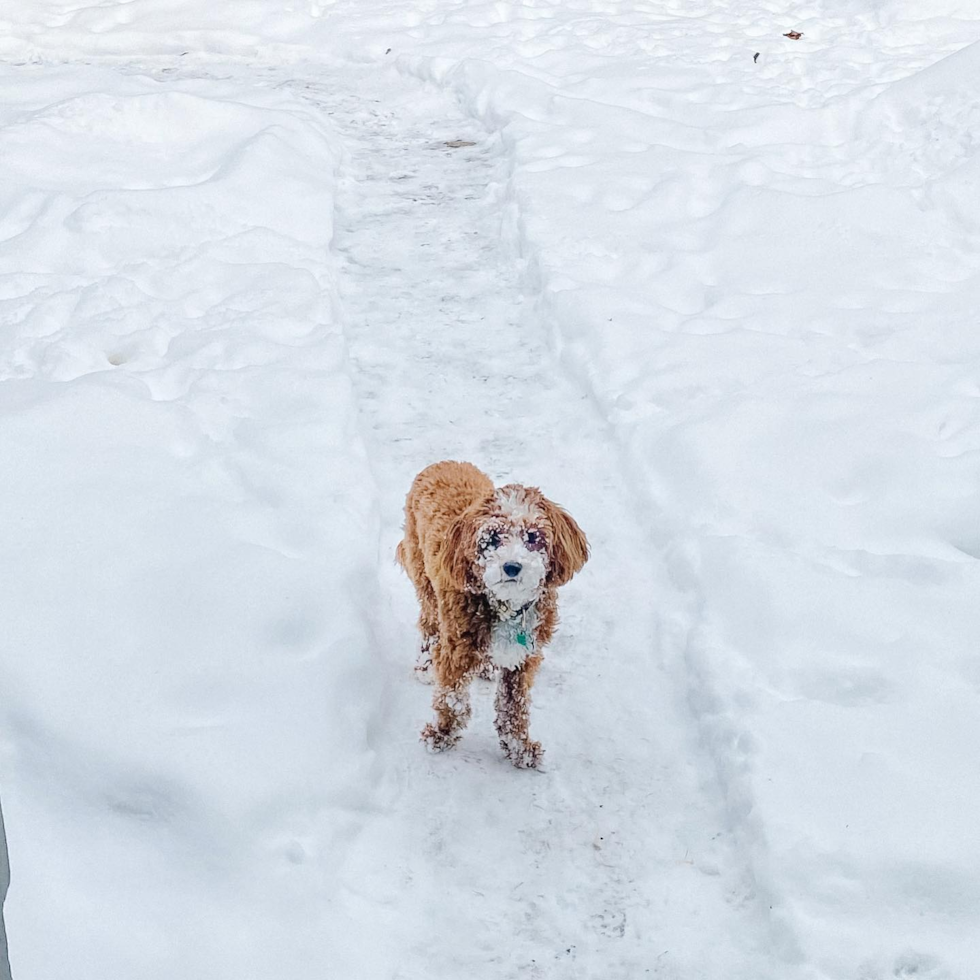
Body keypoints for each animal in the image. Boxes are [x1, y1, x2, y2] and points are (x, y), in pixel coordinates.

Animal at [392, 460, 584, 764]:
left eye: (533, 536)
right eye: (492, 538)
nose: (512, 566)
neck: (506, 606)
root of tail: (444, 463)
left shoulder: (523, 659)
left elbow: (514, 706)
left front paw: (519, 748)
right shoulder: (456, 650)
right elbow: (452, 699)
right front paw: (441, 735)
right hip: (425, 581)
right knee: (429, 625)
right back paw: (424, 665)